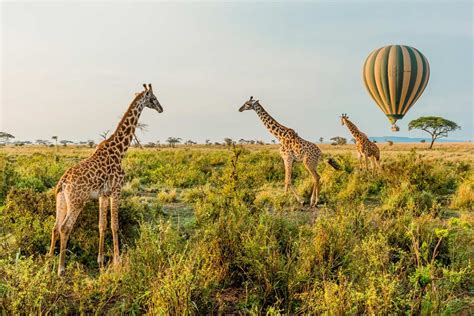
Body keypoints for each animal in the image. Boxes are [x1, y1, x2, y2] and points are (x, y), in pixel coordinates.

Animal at [48, 83, 163, 274]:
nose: (161, 108)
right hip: (77, 202)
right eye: (153, 98)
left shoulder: (103, 194)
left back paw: (49, 260)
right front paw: (117, 260)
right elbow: (115, 225)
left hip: (62, 201)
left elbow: (102, 225)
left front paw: (100, 260)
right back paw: (61, 269)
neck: (120, 151)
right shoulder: (117, 190)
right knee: (65, 228)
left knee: (55, 227)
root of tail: (62, 183)